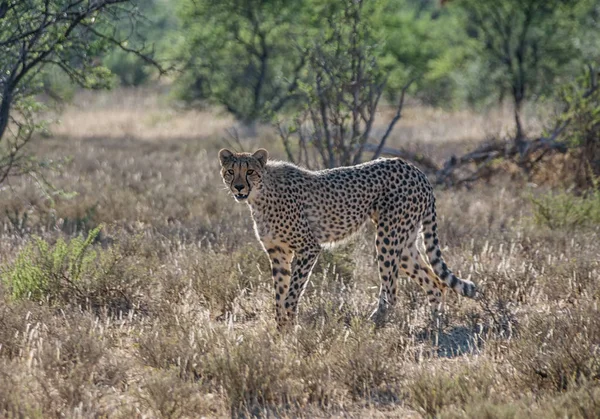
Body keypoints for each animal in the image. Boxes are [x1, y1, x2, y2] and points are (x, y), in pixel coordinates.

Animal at [218, 149, 476, 330]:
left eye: (250, 171)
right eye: (231, 172)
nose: (238, 187)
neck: (260, 195)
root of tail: (415, 169)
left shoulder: (308, 248)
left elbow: (291, 294)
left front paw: (290, 328)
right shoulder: (278, 252)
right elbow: (279, 295)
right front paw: (281, 332)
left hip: (387, 238)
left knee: (392, 291)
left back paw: (372, 327)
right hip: (404, 244)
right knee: (435, 283)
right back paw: (434, 326)